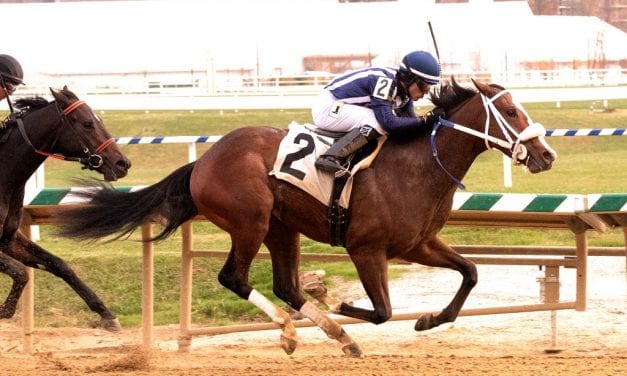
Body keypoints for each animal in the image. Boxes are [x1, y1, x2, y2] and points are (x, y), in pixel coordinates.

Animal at [0, 87, 131, 332]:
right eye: (88, 123)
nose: (122, 163)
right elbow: (21, 273)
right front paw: (5, 311)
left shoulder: (8, 240)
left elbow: (59, 265)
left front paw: (106, 314)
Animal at [54, 78, 556, 354]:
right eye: (510, 111)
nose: (546, 155)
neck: (419, 165)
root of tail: (204, 161)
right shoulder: (366, 248)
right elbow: (381, 311)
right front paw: (342, 304)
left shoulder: (418, 244)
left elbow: (470, 272)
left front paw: (429, 319)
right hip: (251, 221)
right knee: (235, 278)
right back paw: (294, 330)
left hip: (282, 228)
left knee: (286, 286)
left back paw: (336, 334)